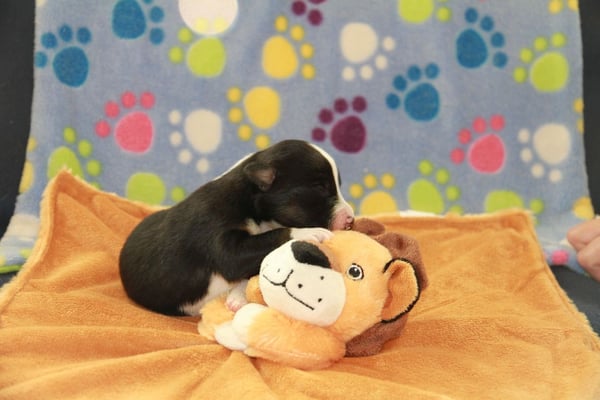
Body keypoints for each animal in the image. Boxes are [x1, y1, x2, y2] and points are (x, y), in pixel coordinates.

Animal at [119, 139, 355, 316]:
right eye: (320, 187)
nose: (350, 219)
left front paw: (238, 296)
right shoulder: (221, 240)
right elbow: (272, 237)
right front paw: (311, 233)